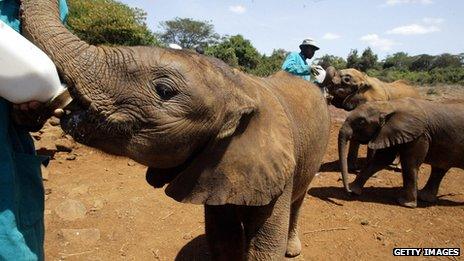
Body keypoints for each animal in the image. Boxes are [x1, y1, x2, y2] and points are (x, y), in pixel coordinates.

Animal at [20, 0, 330, 258]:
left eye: (164, 91)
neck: (239, 86)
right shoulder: (214, 168)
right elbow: (223, 239)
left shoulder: (276, 165)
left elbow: (264, 248)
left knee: (299, 200)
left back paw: (292, 249)